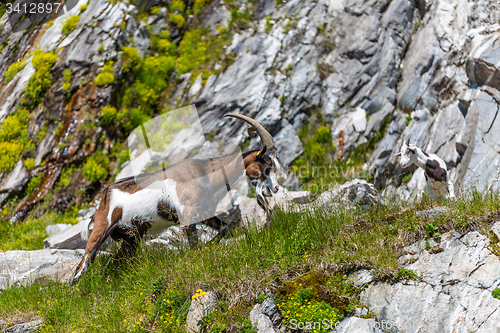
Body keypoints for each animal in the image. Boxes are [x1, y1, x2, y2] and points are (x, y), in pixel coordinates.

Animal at [72, 113, 288, 282]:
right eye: (266, 164)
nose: (276, 188)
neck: (205, 174)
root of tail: (103, 199)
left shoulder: (204, 212)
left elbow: (224, 229)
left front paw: (208, 247)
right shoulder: (188, 214)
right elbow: (193, 244)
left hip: (132, 237)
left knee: (116, 262)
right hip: (101, 230)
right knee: (81, 268)